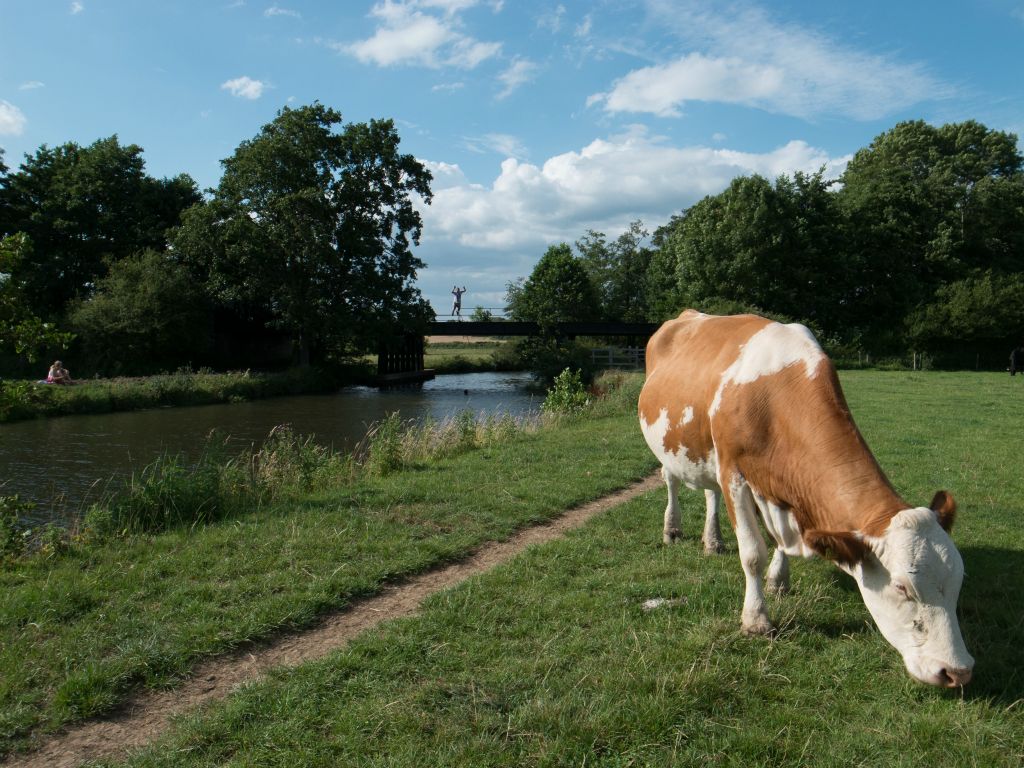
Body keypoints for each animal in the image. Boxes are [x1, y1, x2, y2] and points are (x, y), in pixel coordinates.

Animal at [638, 309, 974, 688]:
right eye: (903, 588)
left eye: (958, 580)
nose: (957, 671)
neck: (774, 400)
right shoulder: (733, 472)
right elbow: (752, 553)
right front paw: (756, 620)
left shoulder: (782, 492)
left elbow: (779, 542)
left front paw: (779, 581)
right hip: (670, 447)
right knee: (671, 481)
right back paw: (672, 530)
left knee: (710, 493)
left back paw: (713, 541)